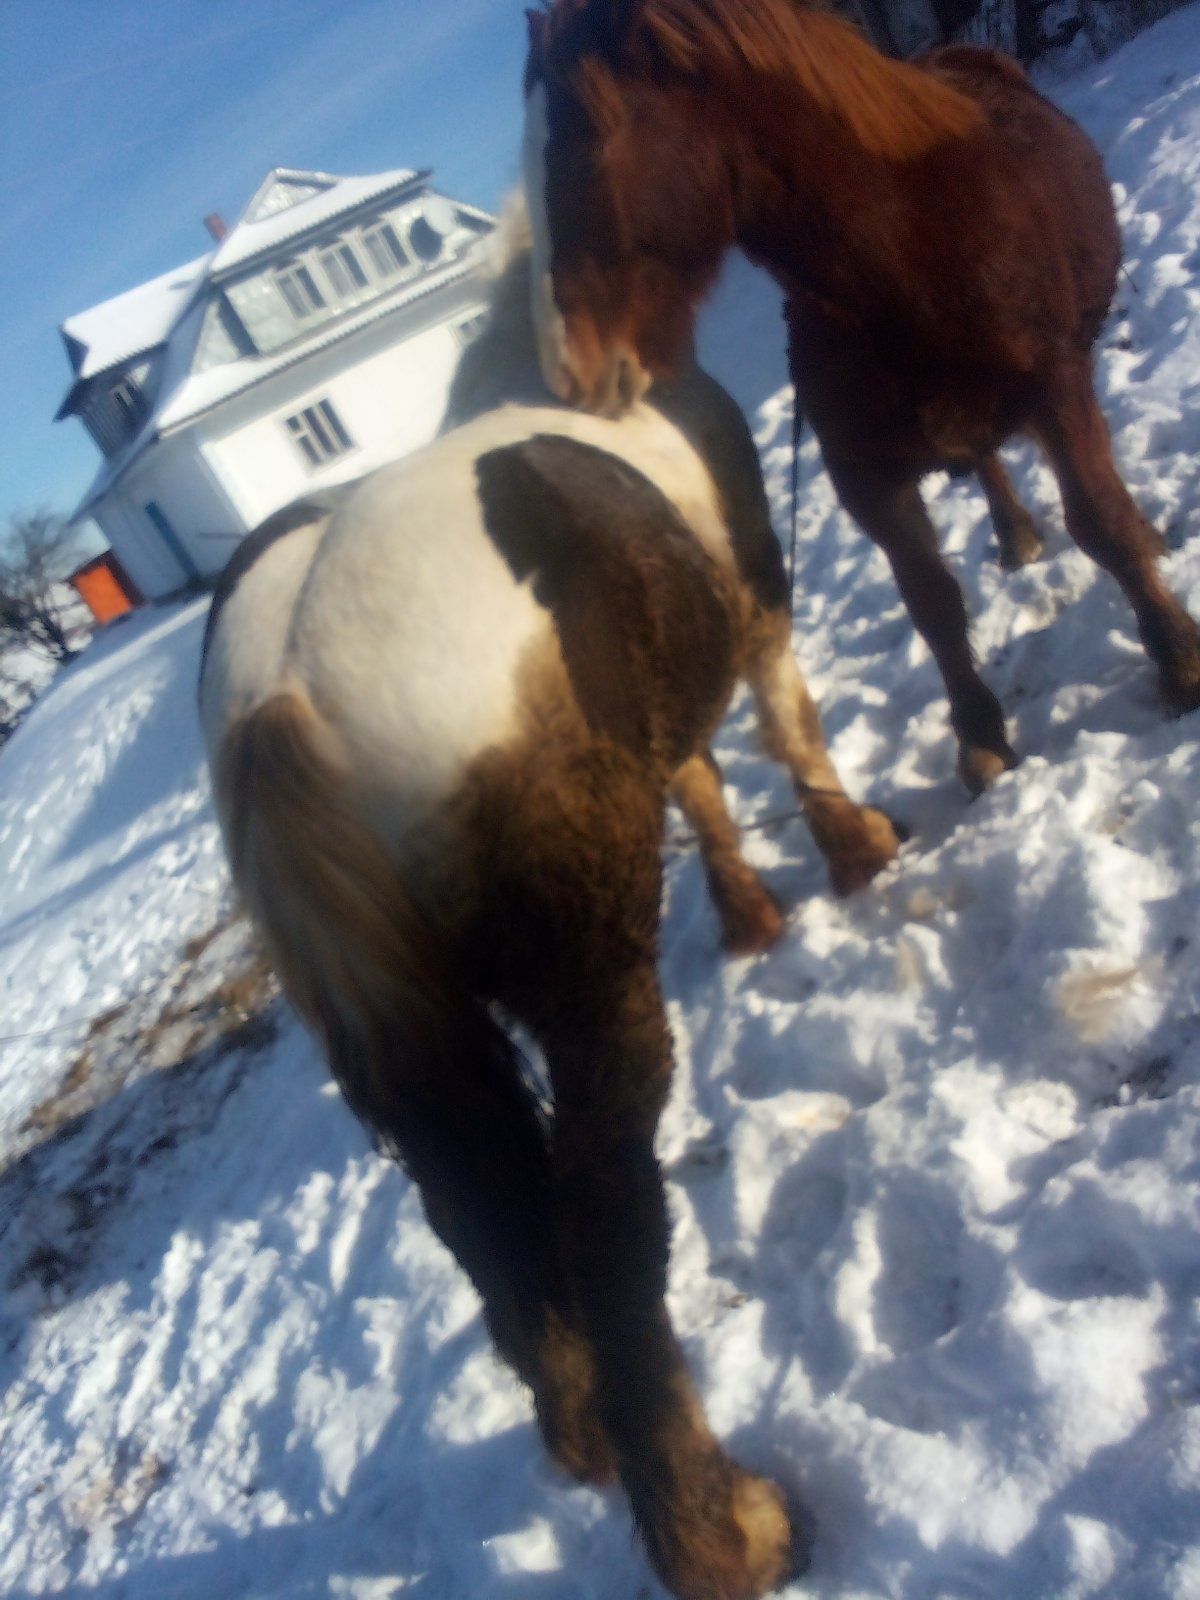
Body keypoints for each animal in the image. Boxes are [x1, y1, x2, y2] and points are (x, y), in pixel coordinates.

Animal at [197, 200, 896, 1600]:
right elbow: (789, 731)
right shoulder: (760, 605)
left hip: (421, 1052)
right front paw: (856, 853)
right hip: (587, 984)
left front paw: (752, 916)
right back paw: (727, 1529)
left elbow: (701, 784)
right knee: (605, 1217)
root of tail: (284, 685)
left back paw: (590, 1443)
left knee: (485, 1221)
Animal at [524, 0, 1200, 793]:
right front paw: (981, 740)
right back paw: (1015, 535)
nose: (567, 371)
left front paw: (1179, 661)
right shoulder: (866, 479)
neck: (910, 257)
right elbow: (931, 602)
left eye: (591, 141)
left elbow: (1101, 521)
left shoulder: (1057, 391)